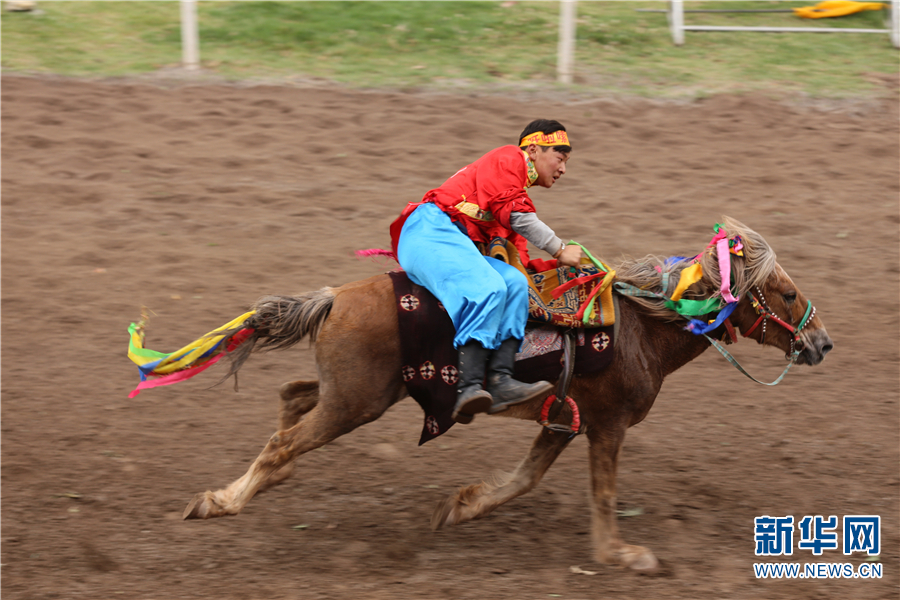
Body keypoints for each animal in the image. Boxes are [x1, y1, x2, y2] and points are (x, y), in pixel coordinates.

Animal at [179, 219, 832, 572]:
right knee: (283, 440)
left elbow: (523, 480)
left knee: (292, 396)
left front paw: (460, 505)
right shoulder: (607, 425)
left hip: (359, 393)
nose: (822, 343)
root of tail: (336, 296)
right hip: (354, 403)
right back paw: (219, 501)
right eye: (788, 293)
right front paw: (622, 556)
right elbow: (601, 495)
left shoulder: (564, 421)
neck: (639, 328)